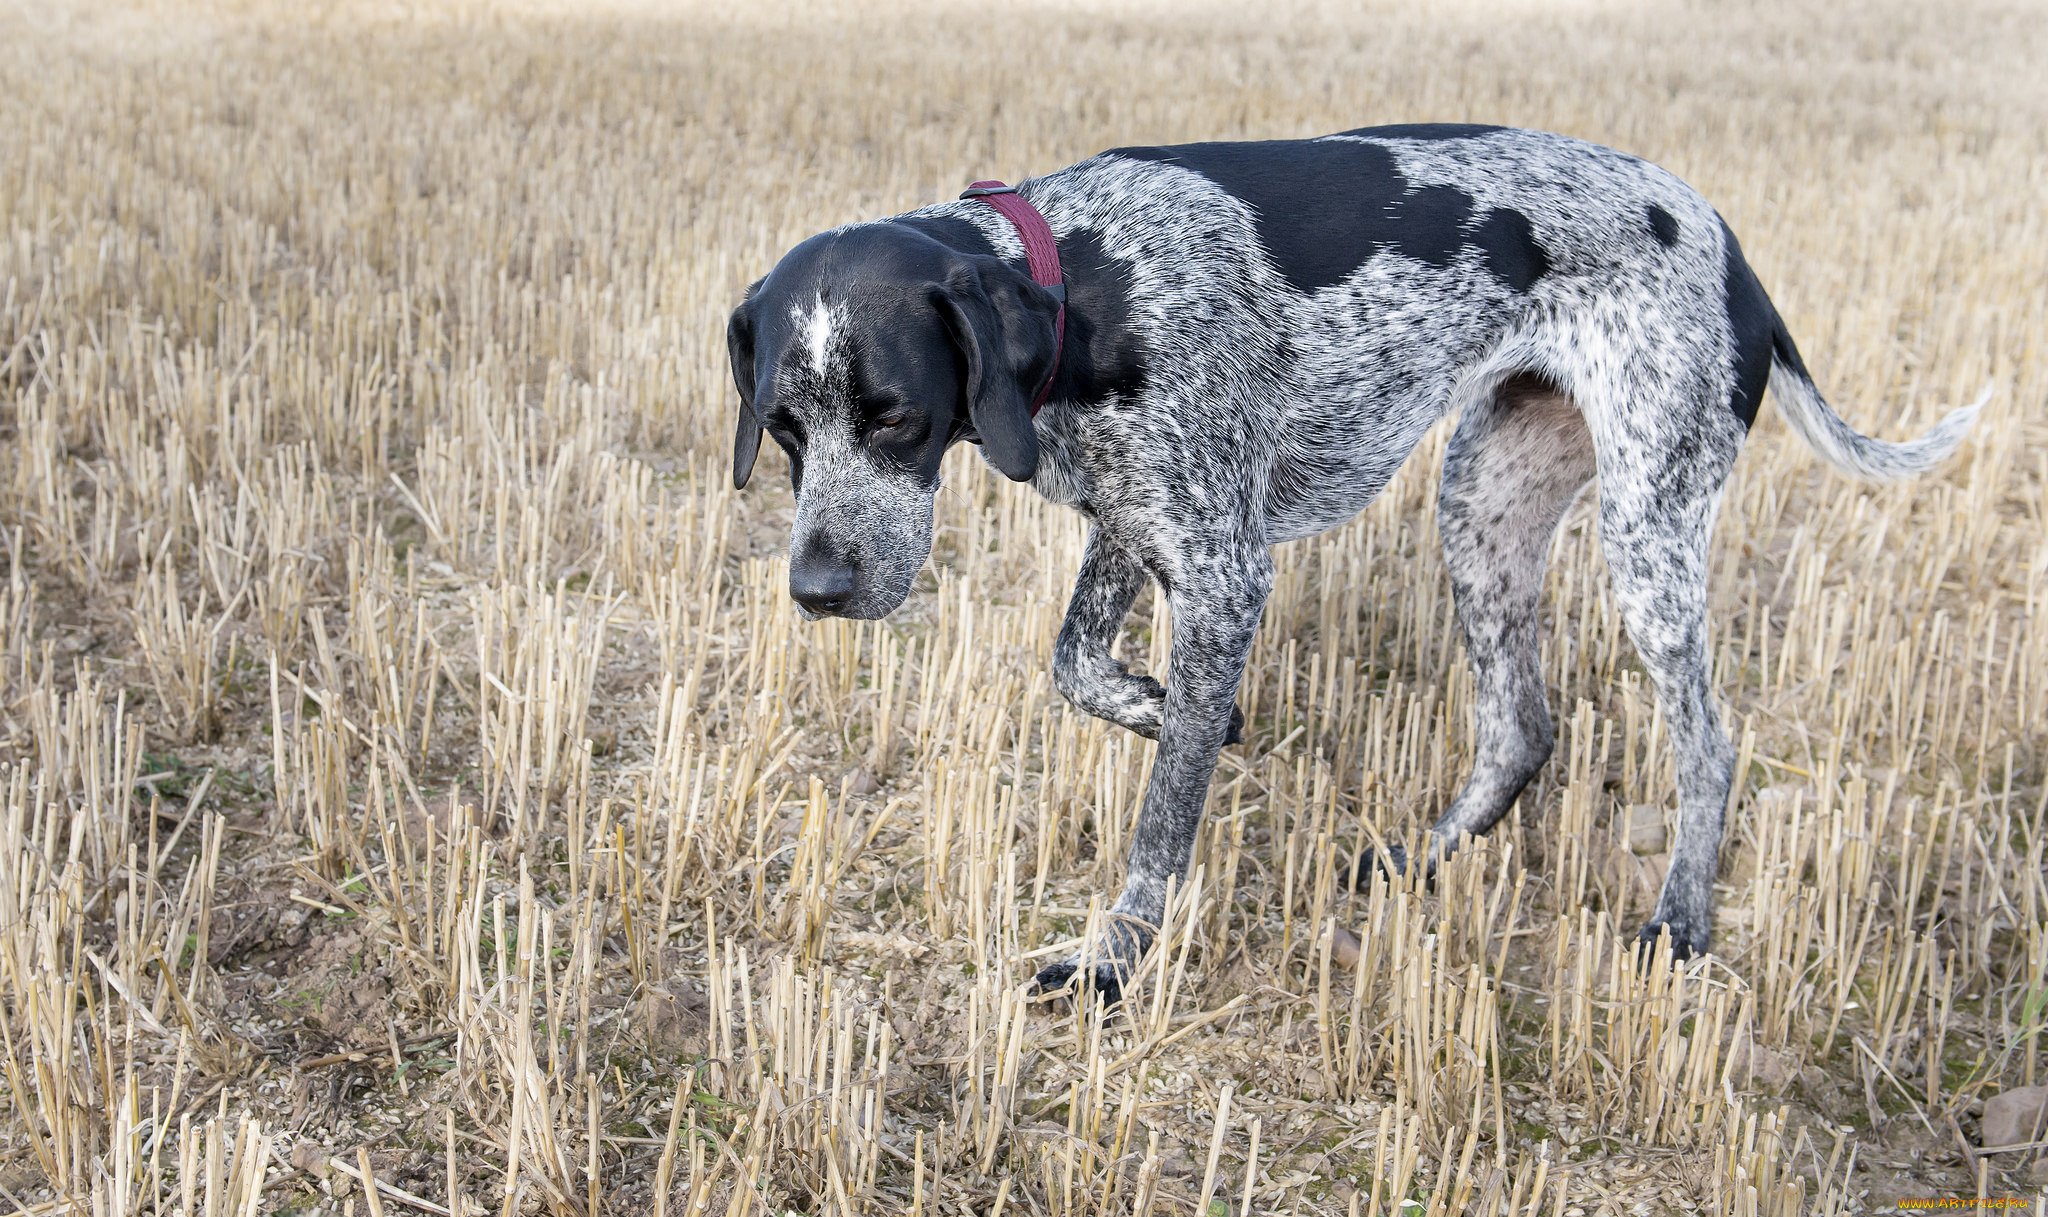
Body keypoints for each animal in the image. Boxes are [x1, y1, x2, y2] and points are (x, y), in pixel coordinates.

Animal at [724, 122, 1982, 995]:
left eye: (893, 417)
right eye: (782, 430)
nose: (816, 590)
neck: (1086, 279)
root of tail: (1731, 250)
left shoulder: (1223, 570)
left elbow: (1160, 823)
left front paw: (1113, 960)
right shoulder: (1135, 523)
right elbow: (1077, 665)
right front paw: (1171, 705)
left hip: (1646, 533)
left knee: (1710, 743)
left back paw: (1678, 922)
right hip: (1482, 508)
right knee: (1522, 725)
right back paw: (1421, 861)